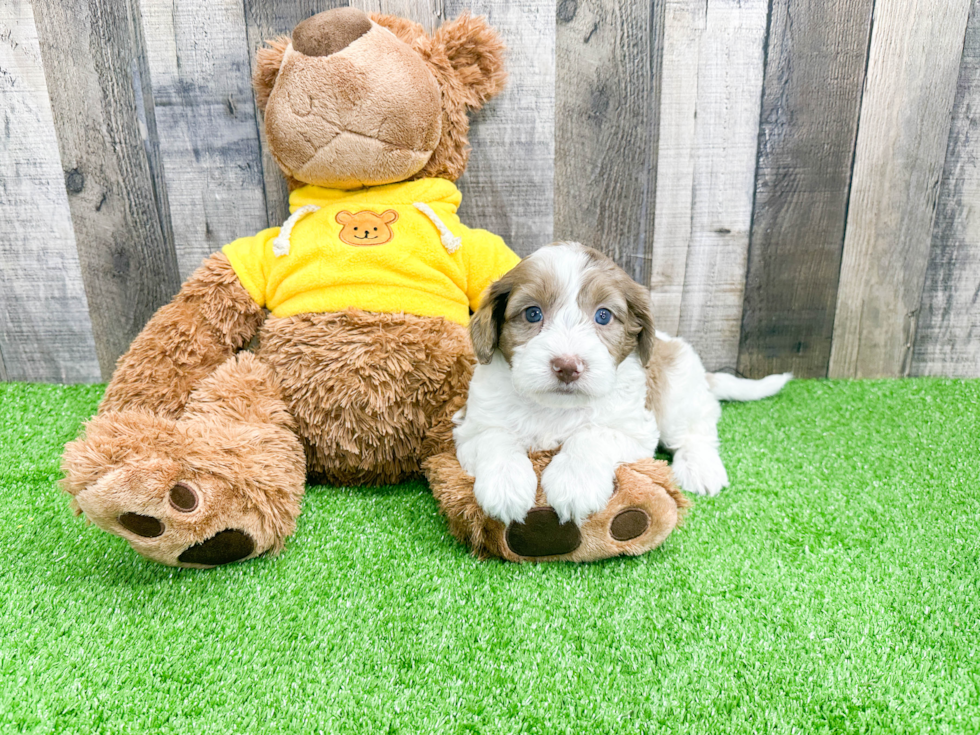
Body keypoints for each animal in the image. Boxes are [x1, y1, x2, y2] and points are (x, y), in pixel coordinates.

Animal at [456, 244, 792, 528]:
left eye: (603, 316)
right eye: (532, 313)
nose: (567, 366)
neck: (556, 407)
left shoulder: (634, 430)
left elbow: (593, 434)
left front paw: (575, 483)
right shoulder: (471, 427)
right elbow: (495, 436)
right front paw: (505, 484)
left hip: (678, 393)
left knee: (695, 431)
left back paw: (701, 468)